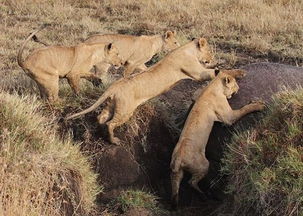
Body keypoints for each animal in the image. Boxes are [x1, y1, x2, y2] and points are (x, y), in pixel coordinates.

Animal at [171, 70, 266, 208]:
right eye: (235, 85)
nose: (239, 88)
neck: (213, 86)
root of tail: (178, 159)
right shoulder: (228, 116)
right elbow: (244, 109)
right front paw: (259, 105)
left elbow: (226, 71)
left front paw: (240, 73)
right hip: (203, 164)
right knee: (191, 182)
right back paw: (204, 196)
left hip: (176, 173)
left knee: (176, 188)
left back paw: (176, 204)